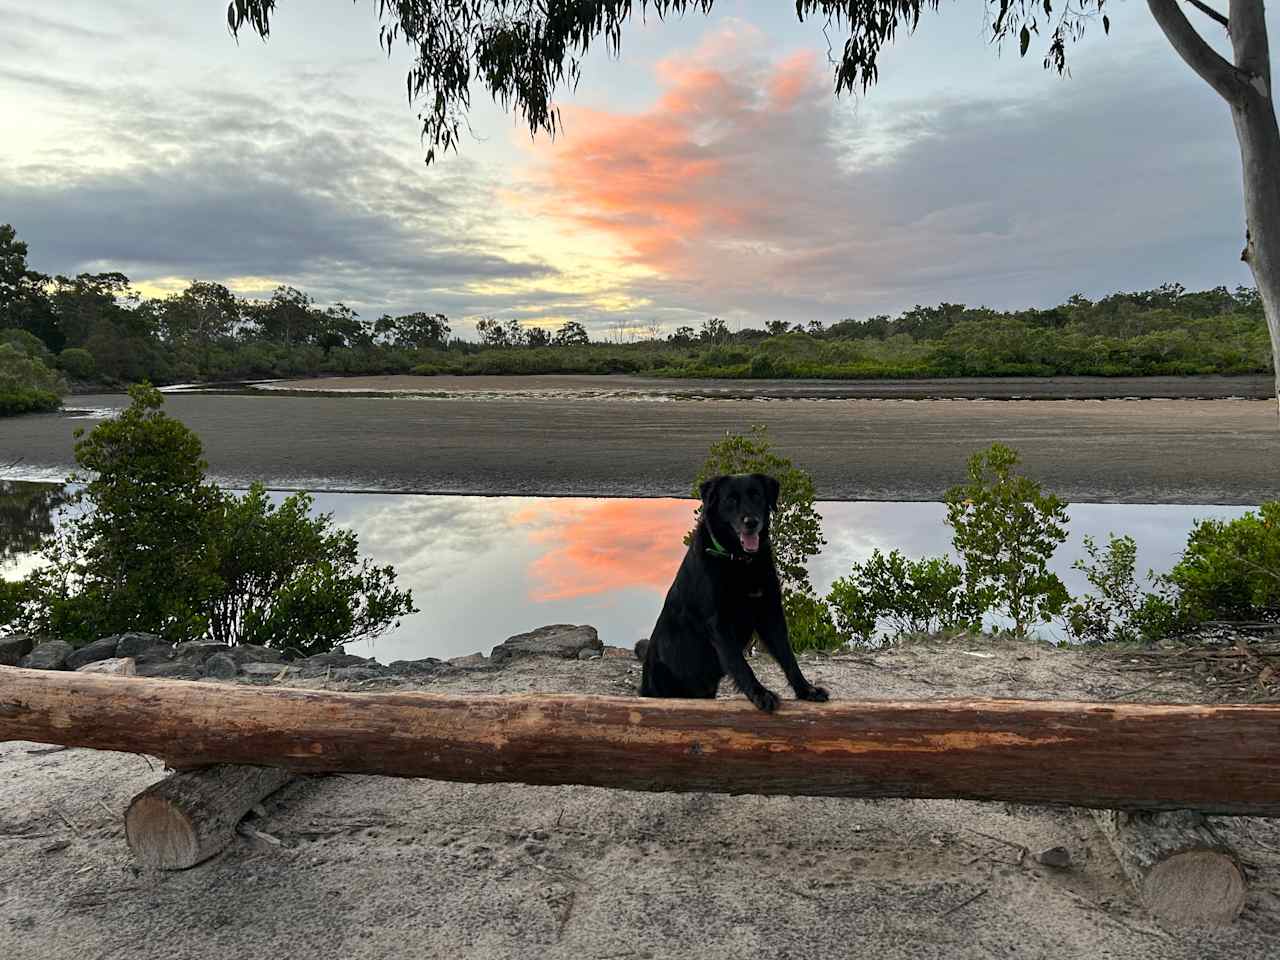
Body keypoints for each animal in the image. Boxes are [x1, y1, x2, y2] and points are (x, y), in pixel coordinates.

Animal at [637, 476, 829, 716]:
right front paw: (760, 694)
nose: (751, 522)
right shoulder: (719, 623)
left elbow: (788, 658)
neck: (738, 561)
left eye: (757, 495)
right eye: (730, 499)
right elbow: (741, 665)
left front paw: (806, 689)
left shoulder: (770, 613)